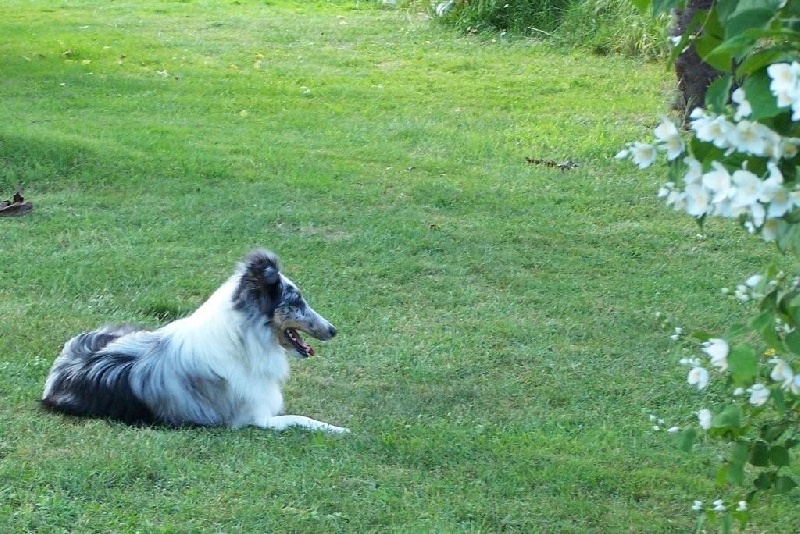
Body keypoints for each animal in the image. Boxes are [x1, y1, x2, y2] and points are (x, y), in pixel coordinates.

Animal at [40, 251, 346, 436]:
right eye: (296, 302)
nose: (333, 330)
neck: (243, 339)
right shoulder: (254, 419)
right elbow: (301, 419)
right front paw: (338, 429)